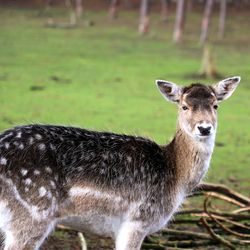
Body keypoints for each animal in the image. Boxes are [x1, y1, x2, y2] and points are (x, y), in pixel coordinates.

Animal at [0, 76, 240, 250]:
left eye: (216, 105)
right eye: (184, 106)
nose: (204, 128)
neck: (176, 176)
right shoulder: (137, 220)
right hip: (32, 214)